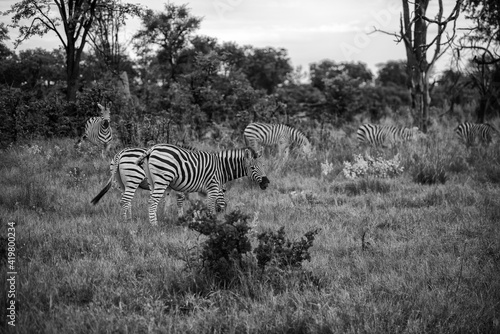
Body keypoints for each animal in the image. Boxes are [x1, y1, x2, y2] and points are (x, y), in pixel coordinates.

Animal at [91, 146, 228, 219]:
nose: (223, 210)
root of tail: (120, 153)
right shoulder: (181, 185)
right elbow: (180, 199)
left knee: (125, 200)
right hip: (133, 179)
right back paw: (127, 219)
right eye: (224, 191)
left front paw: (166, 215)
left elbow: (169, 199)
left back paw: (129, 218)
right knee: (126, 200)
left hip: (120, 182)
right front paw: (180, 216)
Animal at [135, 144, 270, 226]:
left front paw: (200, 223)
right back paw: (154, 225)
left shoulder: (202, 192)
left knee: (153, 200)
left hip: (152, 181)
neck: (221, 168)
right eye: (252, 168)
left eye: (263, 165)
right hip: (162, 179)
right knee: (152, 201)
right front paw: (213, 226)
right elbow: (210, 208)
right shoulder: (213, 188)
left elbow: (200, 207)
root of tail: (153, 148)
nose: (266, 183)